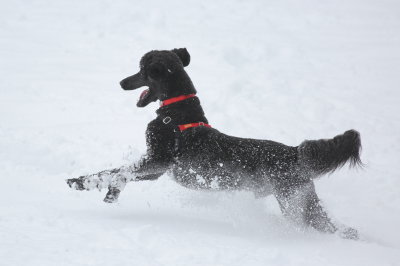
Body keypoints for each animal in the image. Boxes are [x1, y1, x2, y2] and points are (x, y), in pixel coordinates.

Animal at [68, 47, 362, 239]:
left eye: (142, 71)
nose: (121, 82)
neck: (176, 115)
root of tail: (294, 153)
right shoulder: (156, 170)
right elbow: (115, 174)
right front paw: (95, 187)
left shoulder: (158, 160)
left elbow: (118, 172)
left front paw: (97, 187)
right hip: (304, 198)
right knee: (329, 226)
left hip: (291, 199)